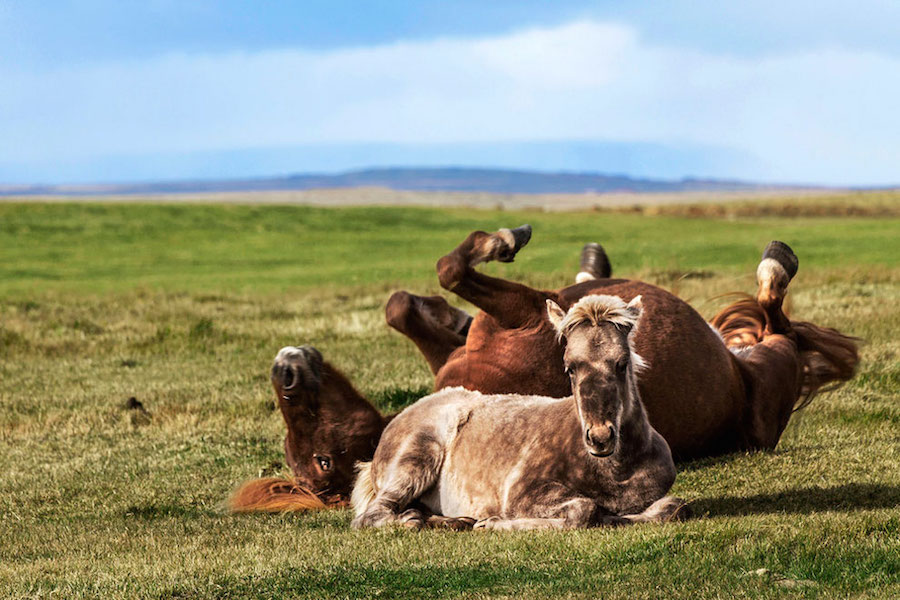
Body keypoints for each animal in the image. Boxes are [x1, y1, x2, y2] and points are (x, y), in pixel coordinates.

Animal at [351, 294, 689, 530]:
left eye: (622, 363)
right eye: (569, 367)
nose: (600, 437)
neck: (616, 472)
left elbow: (674, 507)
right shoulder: (522, 491)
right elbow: (585, 509)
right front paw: (493, 523)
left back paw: (453, 521)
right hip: (416, 456)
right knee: (371, 514)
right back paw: (416, 520)